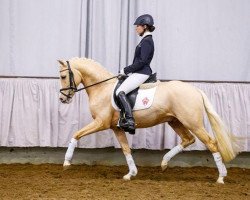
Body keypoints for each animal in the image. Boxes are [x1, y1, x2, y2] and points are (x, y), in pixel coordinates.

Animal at [57, 57, 239, 184]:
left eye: (64, 76)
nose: (62, 99)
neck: (102, 88)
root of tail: (195, 90)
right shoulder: (116, 128)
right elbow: (126, 149)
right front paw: (130, 174)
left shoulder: (101, 123)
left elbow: (76, 134)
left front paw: (66, 162)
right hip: (175, 121)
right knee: (188, 139)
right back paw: (164, 163)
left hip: (192, 122)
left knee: (211, 143)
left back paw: (221, 177)